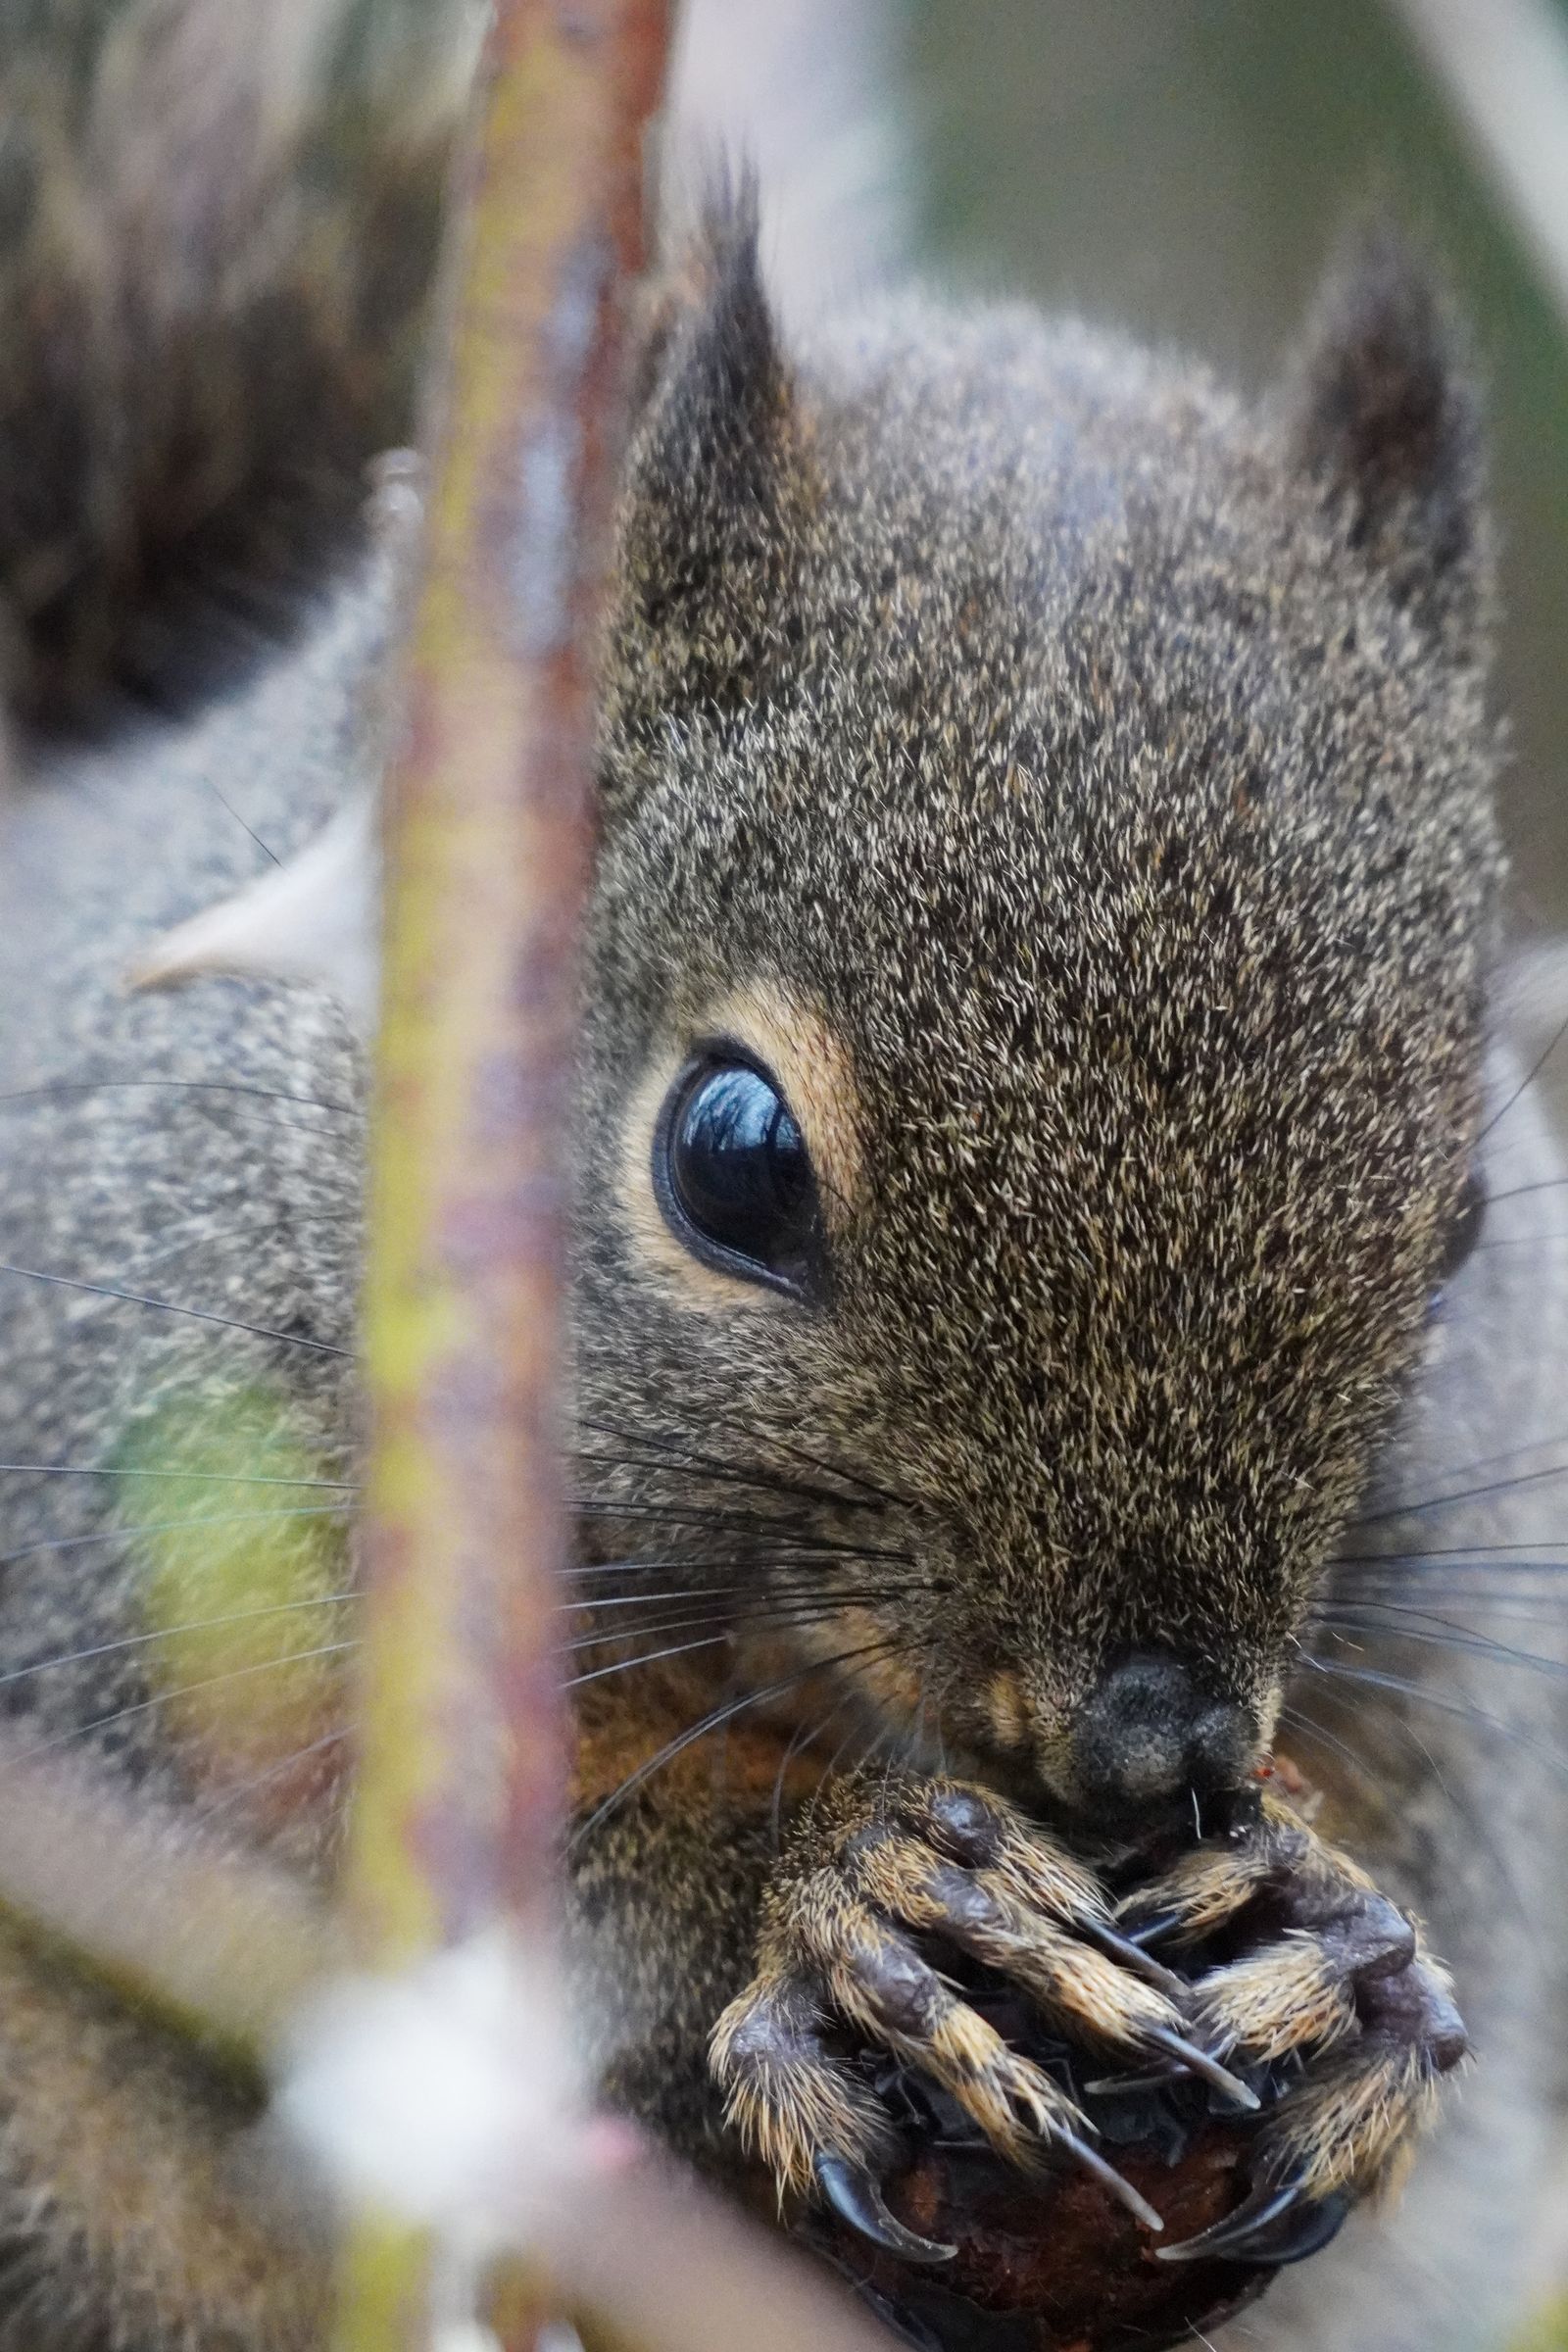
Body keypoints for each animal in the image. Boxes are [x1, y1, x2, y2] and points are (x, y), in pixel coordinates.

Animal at [2, 3, 1567, 2348]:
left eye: (1466, 1210)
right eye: (725, 1162)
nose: (1155, 1744)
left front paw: (1354, 1963)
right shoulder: (110, 1537)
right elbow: (357, 1919)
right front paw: (848, 1905)